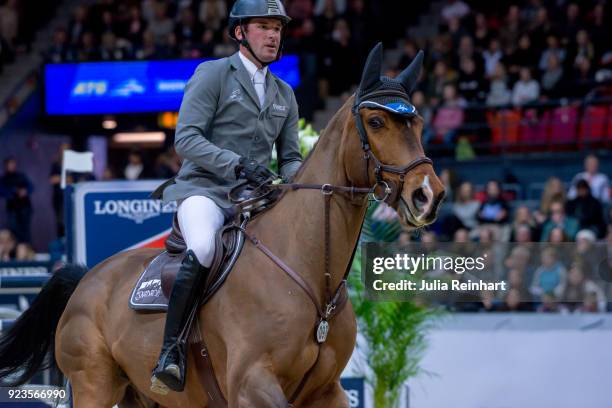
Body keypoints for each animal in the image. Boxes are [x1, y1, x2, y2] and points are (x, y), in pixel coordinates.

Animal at [0, 43, 442, 406]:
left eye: (419, 124)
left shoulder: (327, 391)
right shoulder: (252, 384)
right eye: (376, 122)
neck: (311, 273)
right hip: (95, 384)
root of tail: (87, 278)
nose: (428, 194)